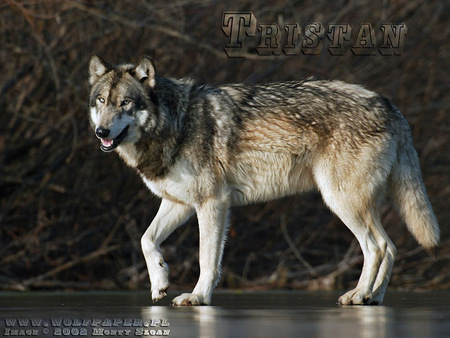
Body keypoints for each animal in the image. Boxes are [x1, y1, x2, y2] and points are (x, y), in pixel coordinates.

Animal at [88, 54, 440, 306]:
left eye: (125, 103)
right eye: (101, 101)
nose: (101, 132)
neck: (175, 123)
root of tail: (389, 105)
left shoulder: (213, 204)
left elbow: (206, 258)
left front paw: (198, 296)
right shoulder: (179, 203)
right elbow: (146, 240)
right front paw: (160, 282)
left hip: (341, 202)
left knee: (376, 246)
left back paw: (359, 294)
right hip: (357, 205)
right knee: (391, 247)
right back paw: (373, 296)